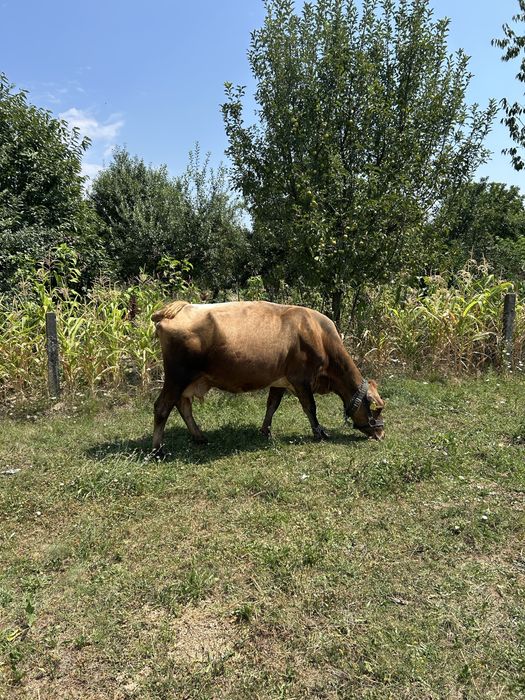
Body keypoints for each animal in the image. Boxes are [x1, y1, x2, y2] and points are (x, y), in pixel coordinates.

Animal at [151, 300, 384, 453]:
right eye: (377, 409)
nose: (381, 434)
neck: (318, 334)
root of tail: (179, 309)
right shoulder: (301, 379)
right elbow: (310, 407)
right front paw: (319, 433)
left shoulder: (280, 380)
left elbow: (272, 404)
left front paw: (265, 431)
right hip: (177, 376)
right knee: (162, 407)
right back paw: (157, 449)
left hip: (187, 380)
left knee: (183, 406)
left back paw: (199, 437)